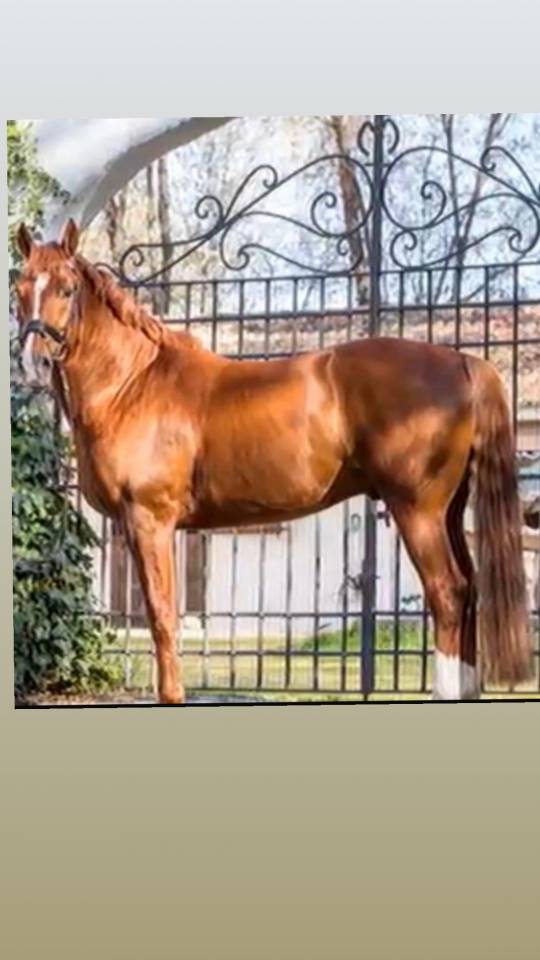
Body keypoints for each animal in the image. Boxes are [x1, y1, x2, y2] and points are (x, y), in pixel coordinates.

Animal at [13, 219, 533, 704]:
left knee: (449, 592)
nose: (32, 363)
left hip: (417, 510)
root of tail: (462, 361)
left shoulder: (150, 520)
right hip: (449, 511)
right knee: (470, 590)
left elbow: (162, 618)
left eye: (66, 288)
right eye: (19, 289)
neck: (133, 384)